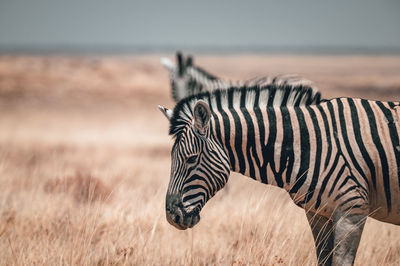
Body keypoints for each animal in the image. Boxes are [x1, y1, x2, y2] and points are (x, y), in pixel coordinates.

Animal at [159, 85, 400, 266]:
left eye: (191, 159)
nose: (172, 217)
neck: (308, 144)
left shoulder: (352, 210)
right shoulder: (318, 213)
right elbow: (324, 260)